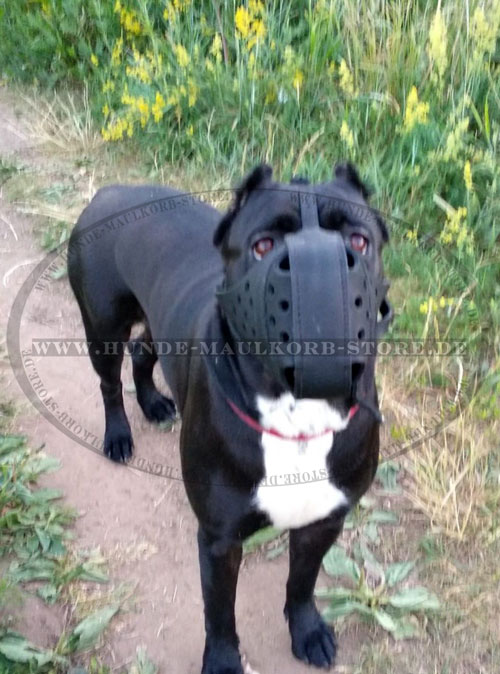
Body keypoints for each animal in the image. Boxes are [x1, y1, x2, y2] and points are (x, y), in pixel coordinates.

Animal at [68, 164, 392, 672]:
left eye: (358, 241)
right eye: (263, 246)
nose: (319, 279)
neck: (297, 406)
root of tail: (112, 192)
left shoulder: (322, 523)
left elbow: (301, 583)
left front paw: (307, 631)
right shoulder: (220, 541)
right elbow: (219, 612)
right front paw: (222, 661)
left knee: (143, 351)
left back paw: (154, 403)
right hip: (102, 326)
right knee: (109, 381)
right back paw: (118, 434)